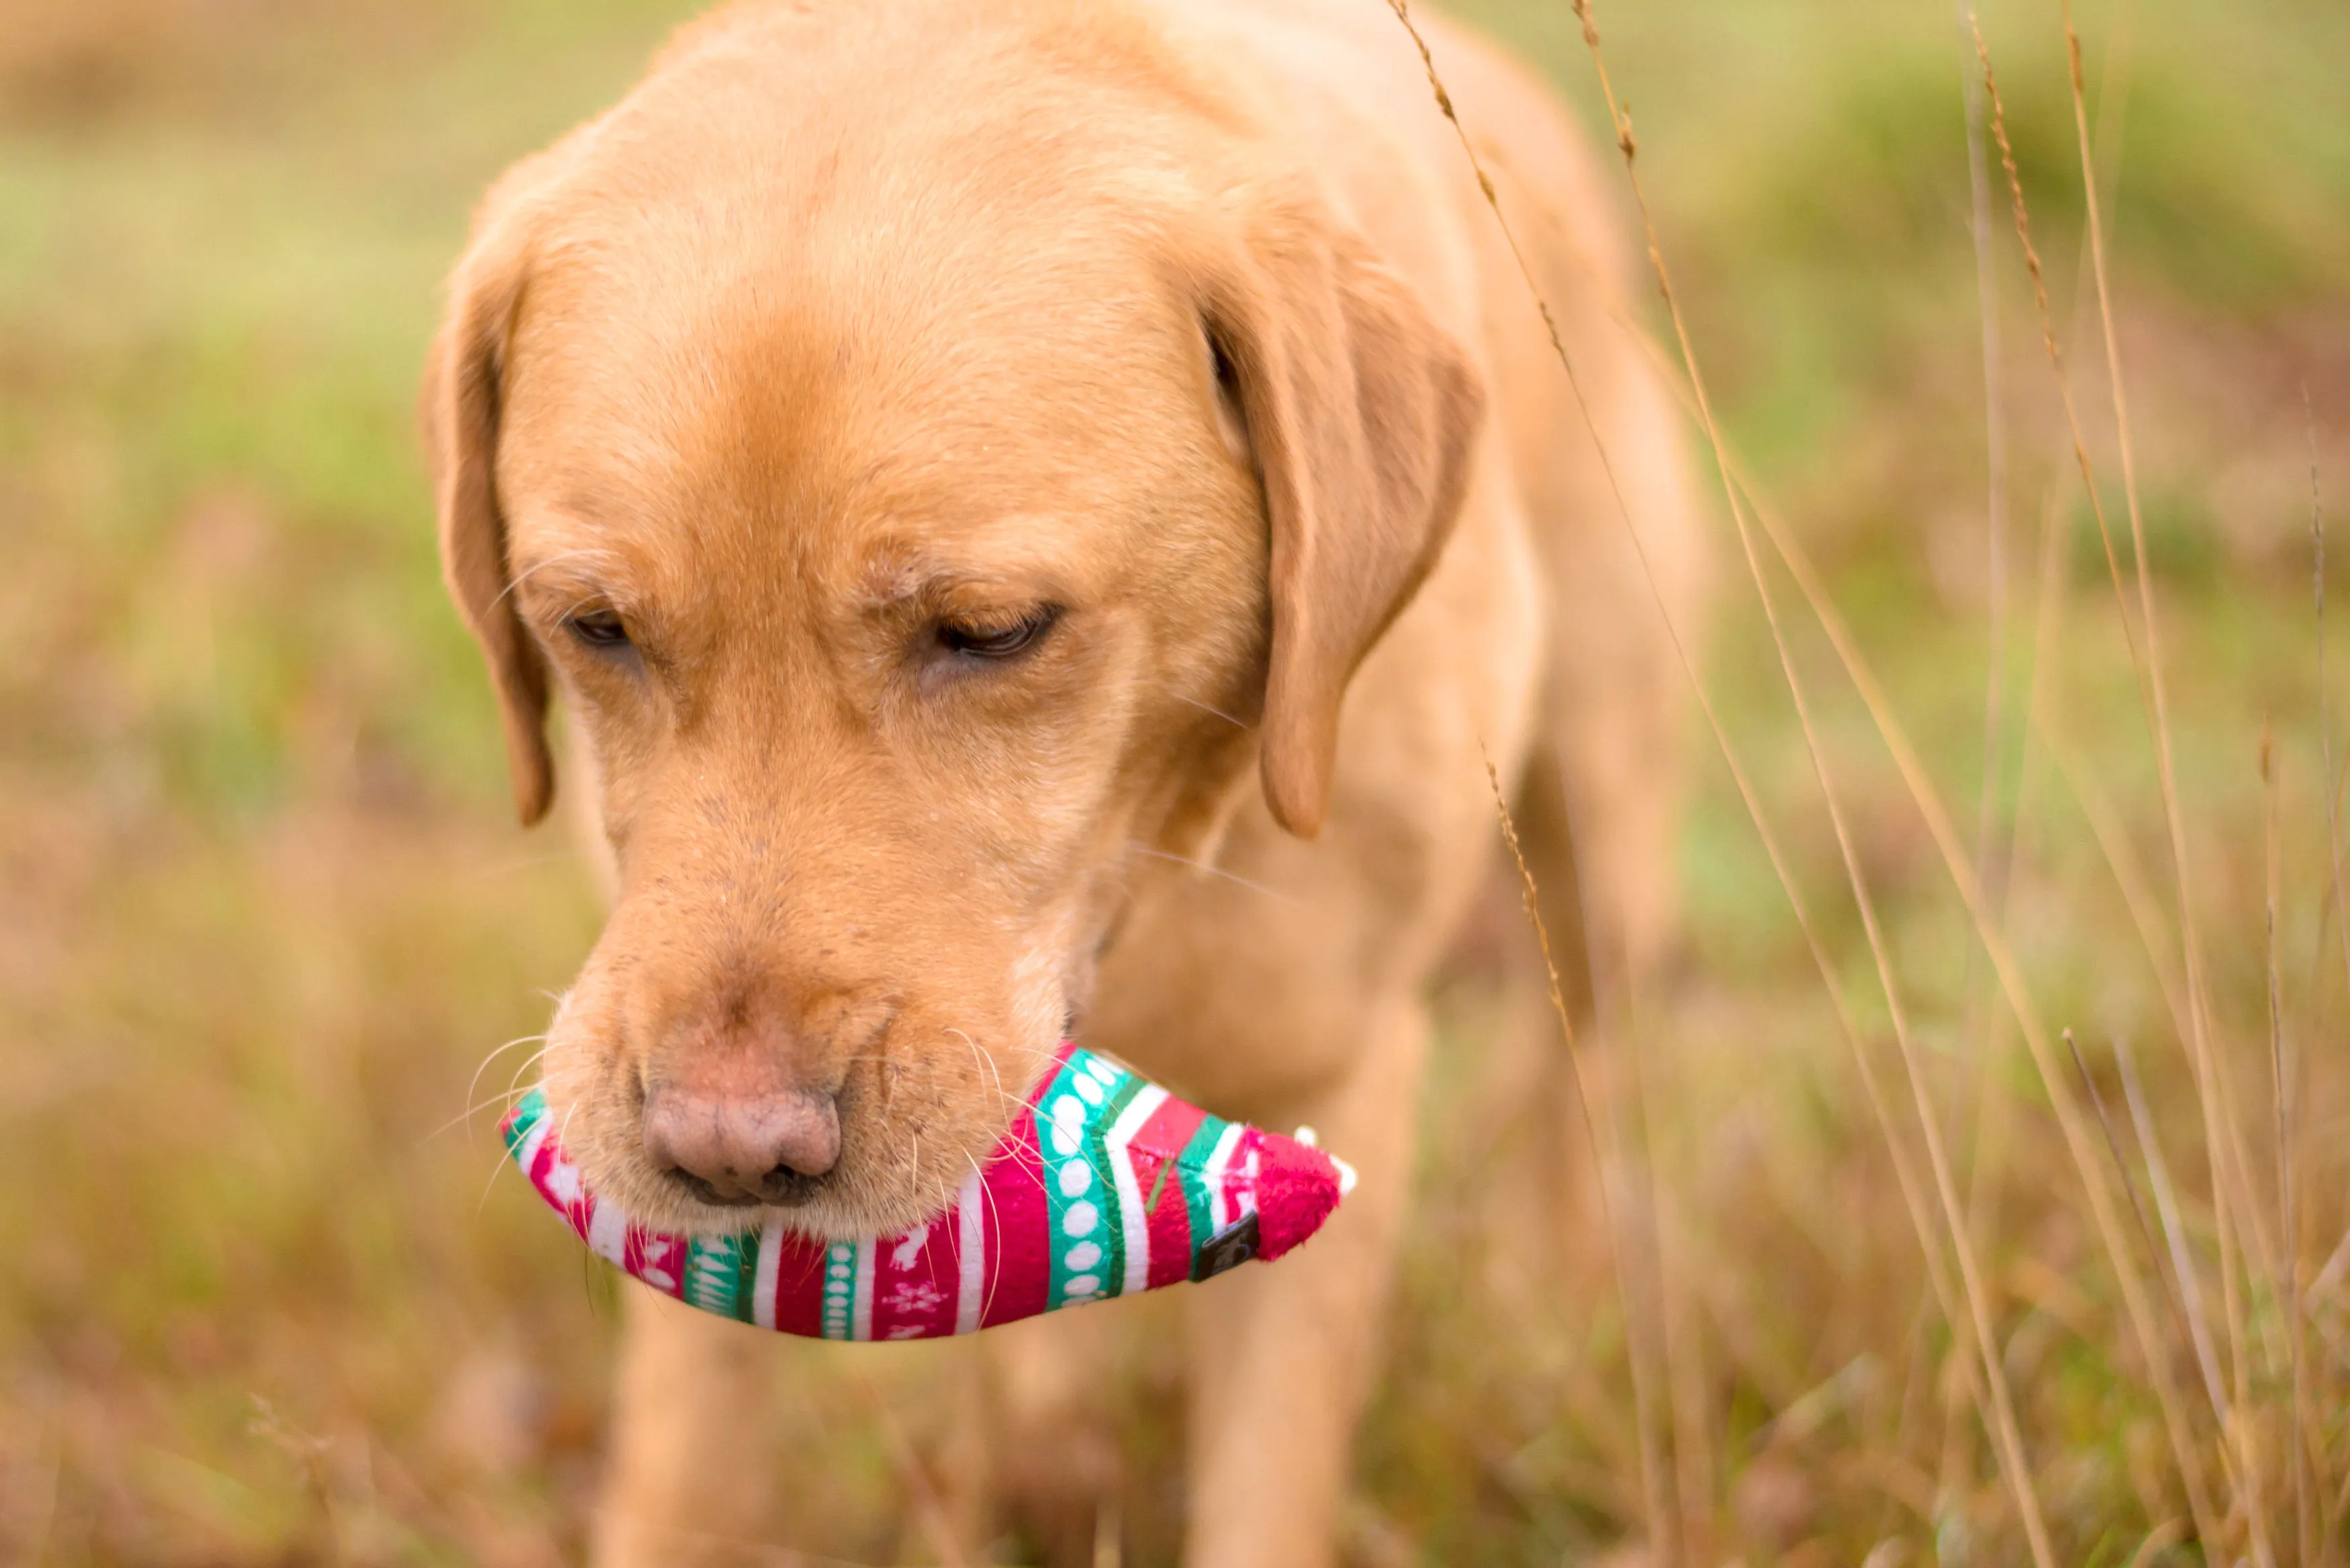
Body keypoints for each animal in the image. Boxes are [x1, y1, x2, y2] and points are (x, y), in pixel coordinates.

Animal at [428, 0, 1692, 1561]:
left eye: (991, 630)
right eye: (593, 626)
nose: (728, 1147)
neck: (1145, 879)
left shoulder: (1335, 1079)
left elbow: (1265, 1483)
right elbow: (690, 1470)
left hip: (1604, 831)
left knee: (1585, 1057)